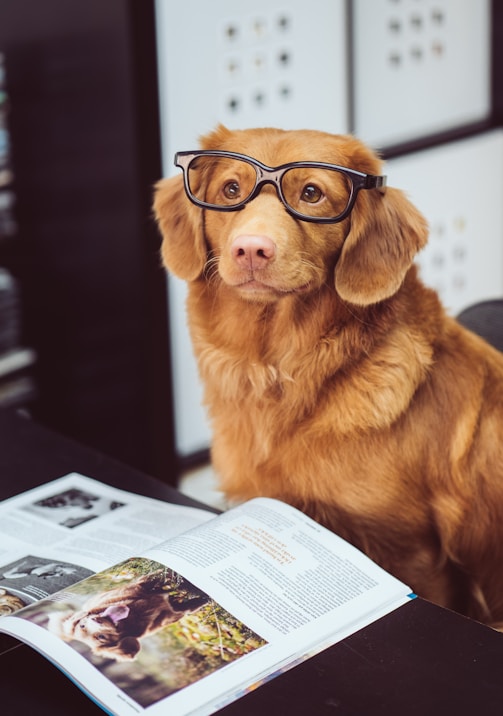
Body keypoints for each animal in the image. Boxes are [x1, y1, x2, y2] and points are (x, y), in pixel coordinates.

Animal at [49, 572, 209, 660]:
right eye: (101, 637)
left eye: (82, 625)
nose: (95, 619)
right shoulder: (166, 615)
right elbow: (183, 609)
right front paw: (201, 600)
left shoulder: (141, 586)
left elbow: (158, 577)